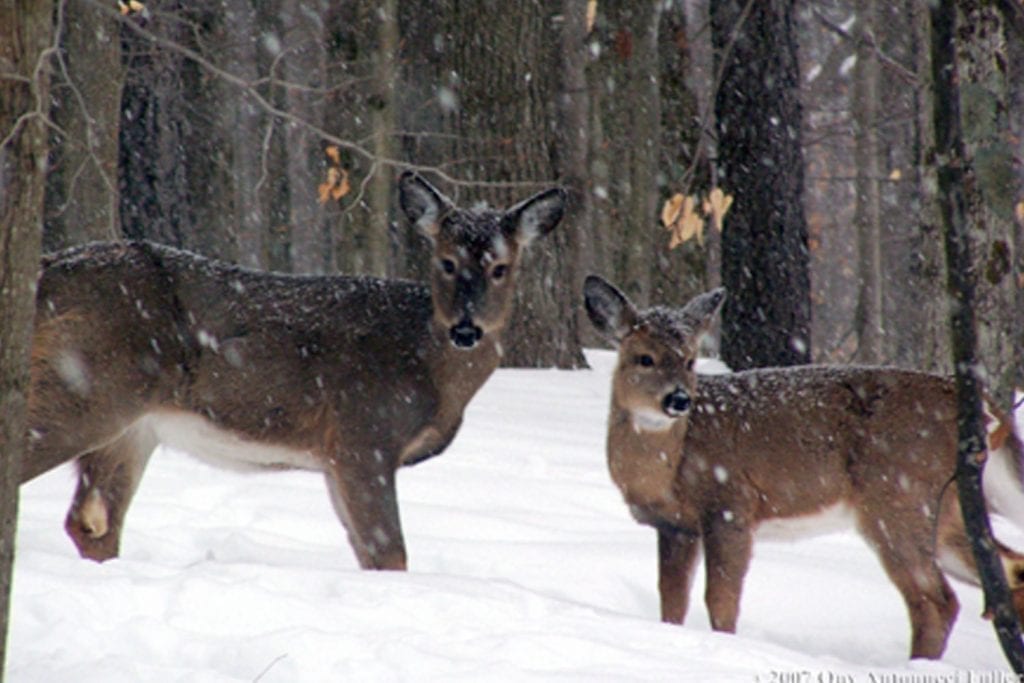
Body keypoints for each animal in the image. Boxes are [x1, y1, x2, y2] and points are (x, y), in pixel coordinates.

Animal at [19, 171, 569, 573]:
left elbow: (367, 553)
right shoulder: (363, 434)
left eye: (501, 268)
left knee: (93, 523)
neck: (426, 365)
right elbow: (389, 553)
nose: (466, 329)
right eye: (447, 262)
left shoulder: (333, 458)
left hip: (132, 428)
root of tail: (47, 268)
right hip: (85, 386)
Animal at [589, 274, 1024, 663]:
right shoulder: (675, 526)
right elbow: (671, 602)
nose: (678, 400)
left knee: (936, 600)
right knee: (1007, 569)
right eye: (644, 358)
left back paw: (916, 667)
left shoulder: (731, 506)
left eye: (690, 360)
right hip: (946, 510)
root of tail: (979, 406)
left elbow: (721, 600)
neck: (668, 470)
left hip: (899, 500)